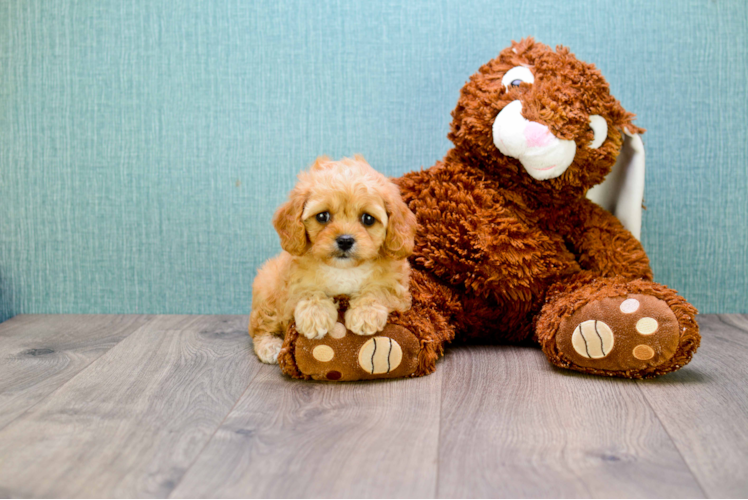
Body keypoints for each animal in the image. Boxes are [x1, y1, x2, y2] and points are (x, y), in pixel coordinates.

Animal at [250, 156, 414, 364]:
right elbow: (307, 291)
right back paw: (269, 346)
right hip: (267, 290)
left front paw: (365, 314)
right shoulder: (293, 281)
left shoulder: (396, 285)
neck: (344, 269)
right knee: (261, 327)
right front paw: (315, 316)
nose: (345, 240)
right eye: (322, 216)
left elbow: (378, 290)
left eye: (368, 219)